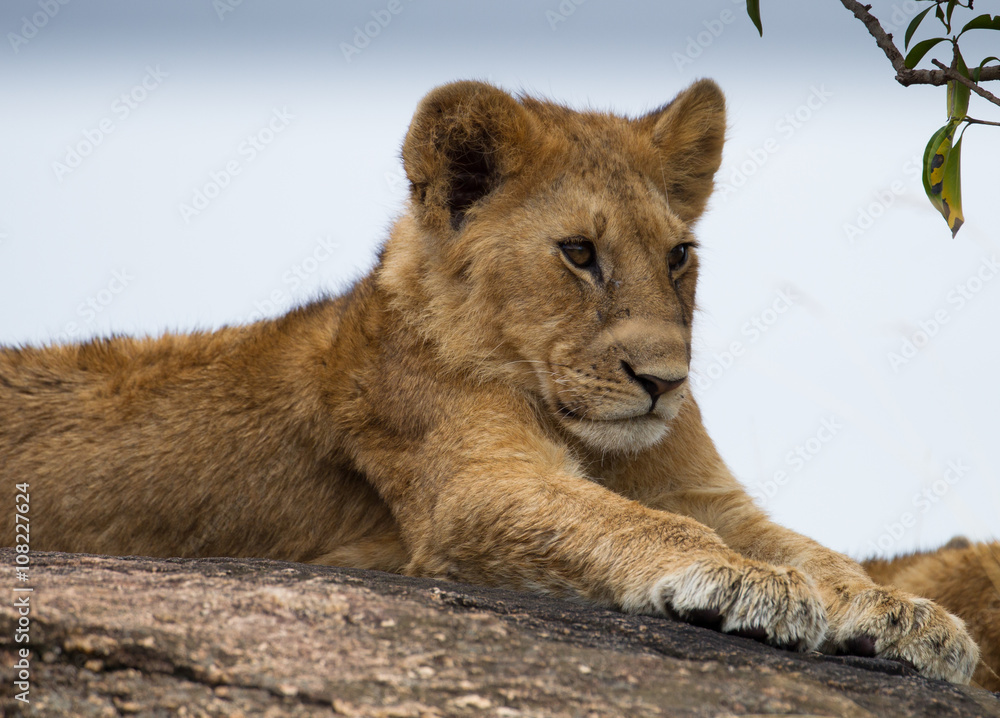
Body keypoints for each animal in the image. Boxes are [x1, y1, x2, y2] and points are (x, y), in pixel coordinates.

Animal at [1, 79, 992, 687]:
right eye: (579, 253)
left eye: (678, 255)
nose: (664, 381)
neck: (588, 427)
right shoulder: (474, 488)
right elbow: (629, 523)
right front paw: (743, 581)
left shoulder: (705, 489)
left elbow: (814, 549)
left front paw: (904, 613)